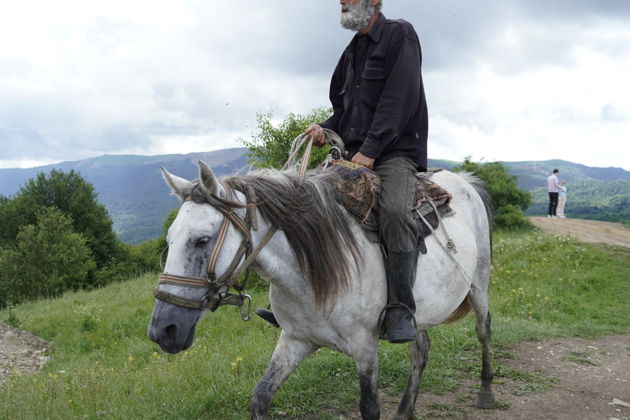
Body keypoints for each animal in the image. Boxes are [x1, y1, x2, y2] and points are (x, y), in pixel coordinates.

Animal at [148, 162, 498, 420]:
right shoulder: (296, 339)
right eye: (169, 240)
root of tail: (464, 180)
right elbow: (261, 396)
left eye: (201, 240)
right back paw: (405, 410)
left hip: (478, 285)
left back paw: (486, 392)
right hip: (417, 313)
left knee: (483, 331)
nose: (163, 331)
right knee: (421, 351)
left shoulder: (364, 346)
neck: (311, 275)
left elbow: (369, 408)